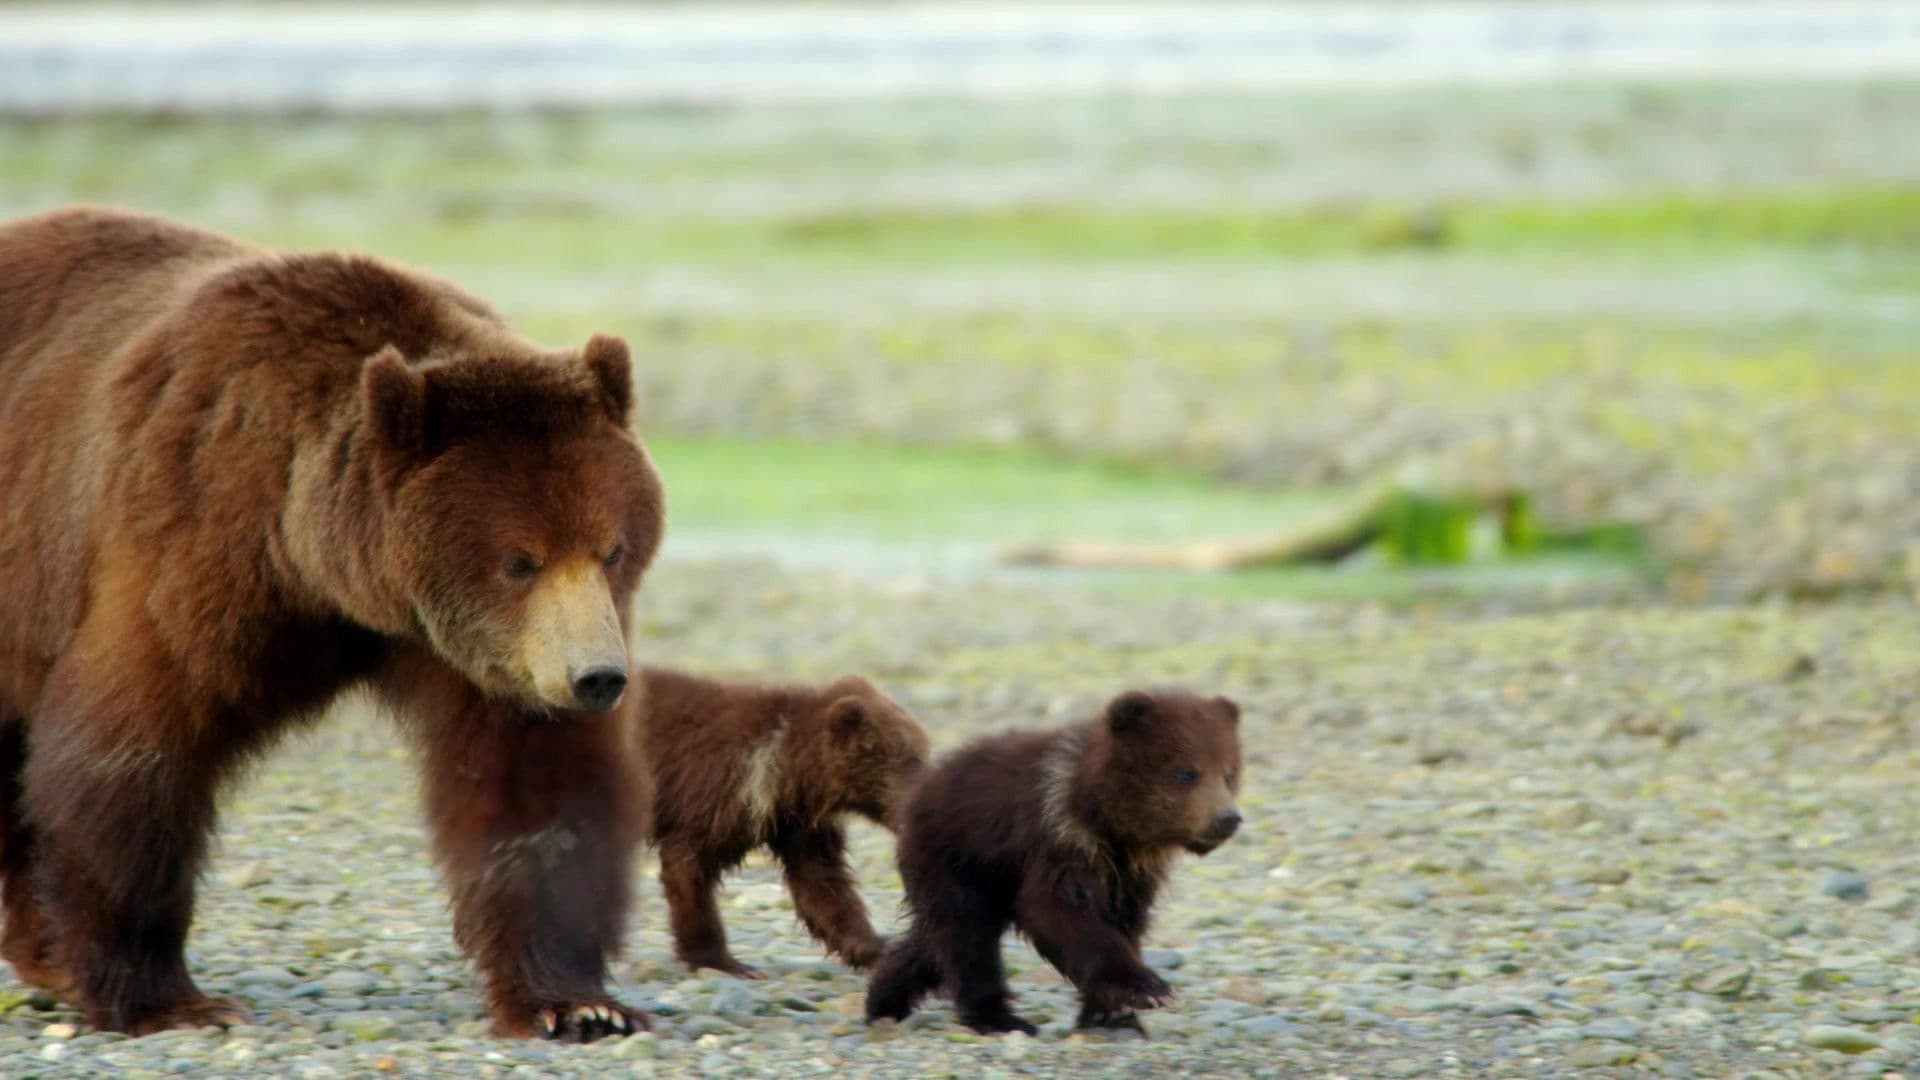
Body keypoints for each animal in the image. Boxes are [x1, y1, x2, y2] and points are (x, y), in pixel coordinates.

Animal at [0, 206, 665, 1041]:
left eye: (611, 548)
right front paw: (166, 997)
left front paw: (575, 1002)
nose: (597, 678)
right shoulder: (193, 534)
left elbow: (536, 777)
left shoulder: (482, 650)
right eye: (521, 561)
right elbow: (137, 746)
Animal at [636, 667, 930, 978]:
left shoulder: (799, 825)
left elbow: (821, 881)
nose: (923, 801)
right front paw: (724, 961)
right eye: (909, 759)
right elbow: (689, 868)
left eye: (921, 752)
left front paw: (874, 946)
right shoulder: (714, 795)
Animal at [865, 687, 1242, 1036]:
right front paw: (1148, 990)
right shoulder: (1057, 839)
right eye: (1186, 773)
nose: (1227, 818)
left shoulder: (1127, 877)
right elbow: (1056, 911)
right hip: (956, 857)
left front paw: (1112, 1016)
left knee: (932, 939)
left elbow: (1125, 924)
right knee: (966, 936)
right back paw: (997, 1018)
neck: (1111, 828)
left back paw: (884, 999)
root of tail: (915, 793)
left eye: (1228, 773)